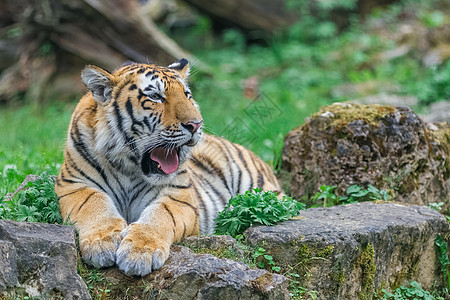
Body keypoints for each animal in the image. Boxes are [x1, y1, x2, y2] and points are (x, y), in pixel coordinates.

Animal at [55, 59, 282, 276]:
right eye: (156, 96)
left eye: (187, 95)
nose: (196, 124)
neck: (129, 167)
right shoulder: (74, 184)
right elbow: (95, 205)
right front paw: (101, 244)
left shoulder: (179, 195)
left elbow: (160, 215)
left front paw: (139, 252)